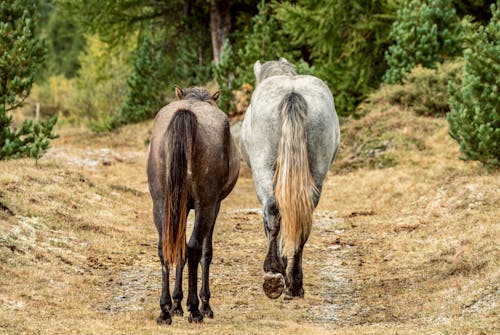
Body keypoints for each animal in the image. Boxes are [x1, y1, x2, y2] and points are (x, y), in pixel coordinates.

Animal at [147, 86, 239, 326]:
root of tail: (186, 114)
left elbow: (178, 250)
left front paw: (176, 304)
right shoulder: (213, 205)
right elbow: (206, 251)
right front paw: (203, 305)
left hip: (160, 203)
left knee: (164, 248)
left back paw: (164, 310)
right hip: (205, 205)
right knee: (195, 248)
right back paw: (195, 309)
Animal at [239, 57, 340, 300]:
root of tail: (292, 93)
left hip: (263, 168)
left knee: (272, 209)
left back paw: (274, 271)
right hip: (315, 174)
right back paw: (294, 284)